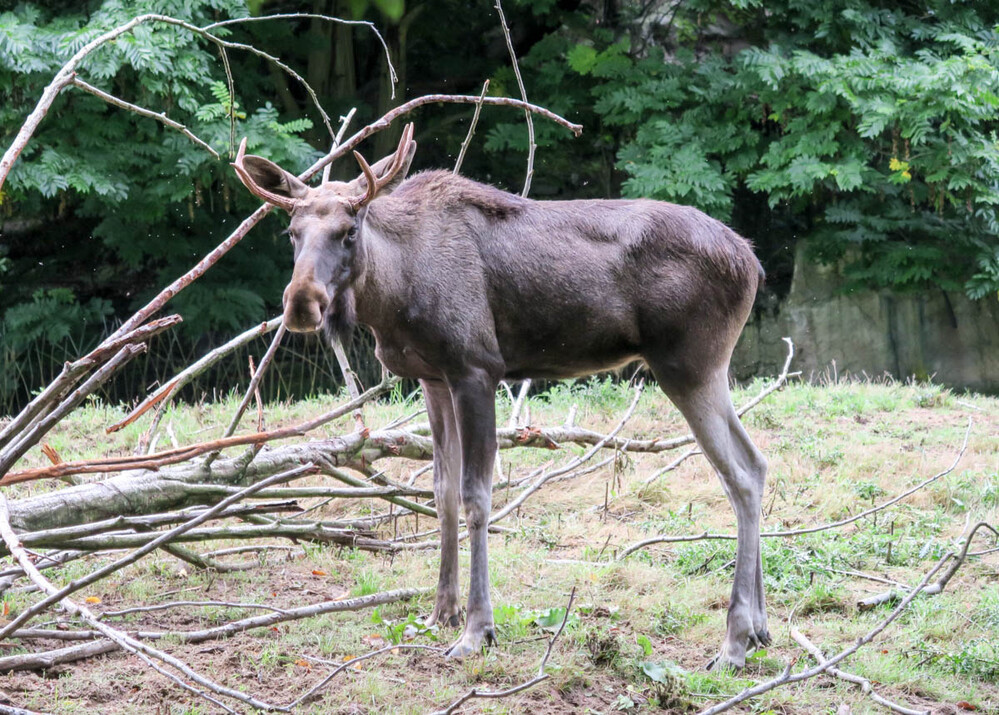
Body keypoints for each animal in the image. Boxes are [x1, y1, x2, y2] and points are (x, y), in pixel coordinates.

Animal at [234, 124, 772, 672]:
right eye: (292, 232)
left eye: (349, 229)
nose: (302, 303)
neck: (392, 293)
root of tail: (753, 262)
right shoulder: (433, 378)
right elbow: (441, 491)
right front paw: (441, 612)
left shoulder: (477, 369)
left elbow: (476, 495)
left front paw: (477, 630)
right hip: (706, 371)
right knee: (755, 463)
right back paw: (759, 630)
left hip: (687, 366)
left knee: (740, 474)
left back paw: (733, 643)